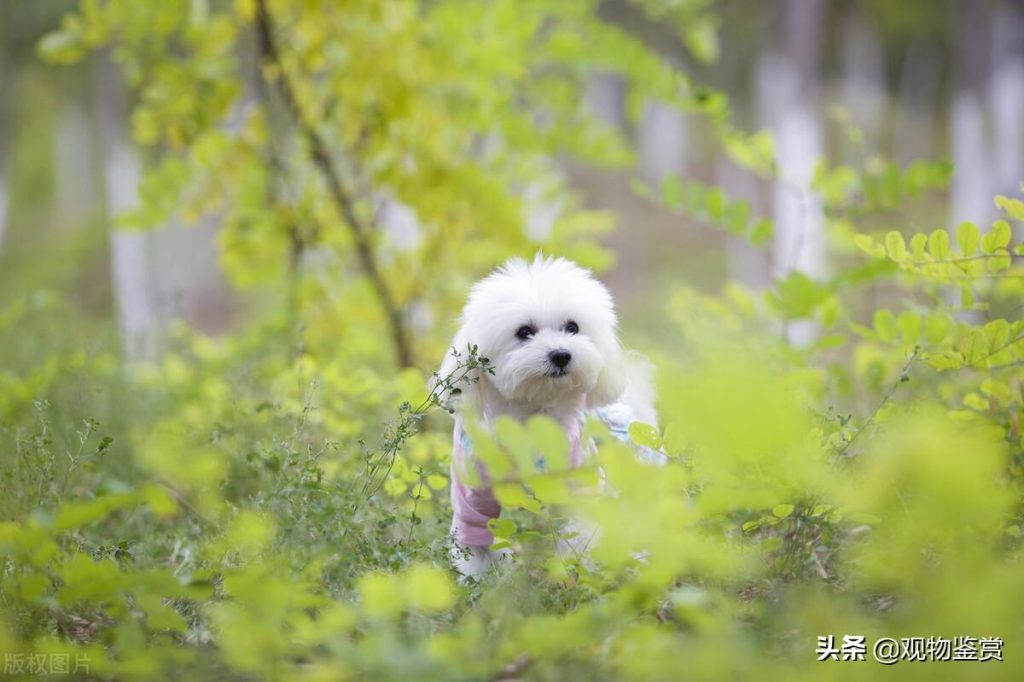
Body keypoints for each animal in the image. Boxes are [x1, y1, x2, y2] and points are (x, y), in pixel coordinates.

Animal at [430, 254, 655, 577]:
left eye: (572, 327)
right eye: (524, 331)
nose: (561, 354)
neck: (530, 413)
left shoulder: (580, 483)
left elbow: (581, 533)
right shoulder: (471, 490)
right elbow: (476, 539)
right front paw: (476, 581)